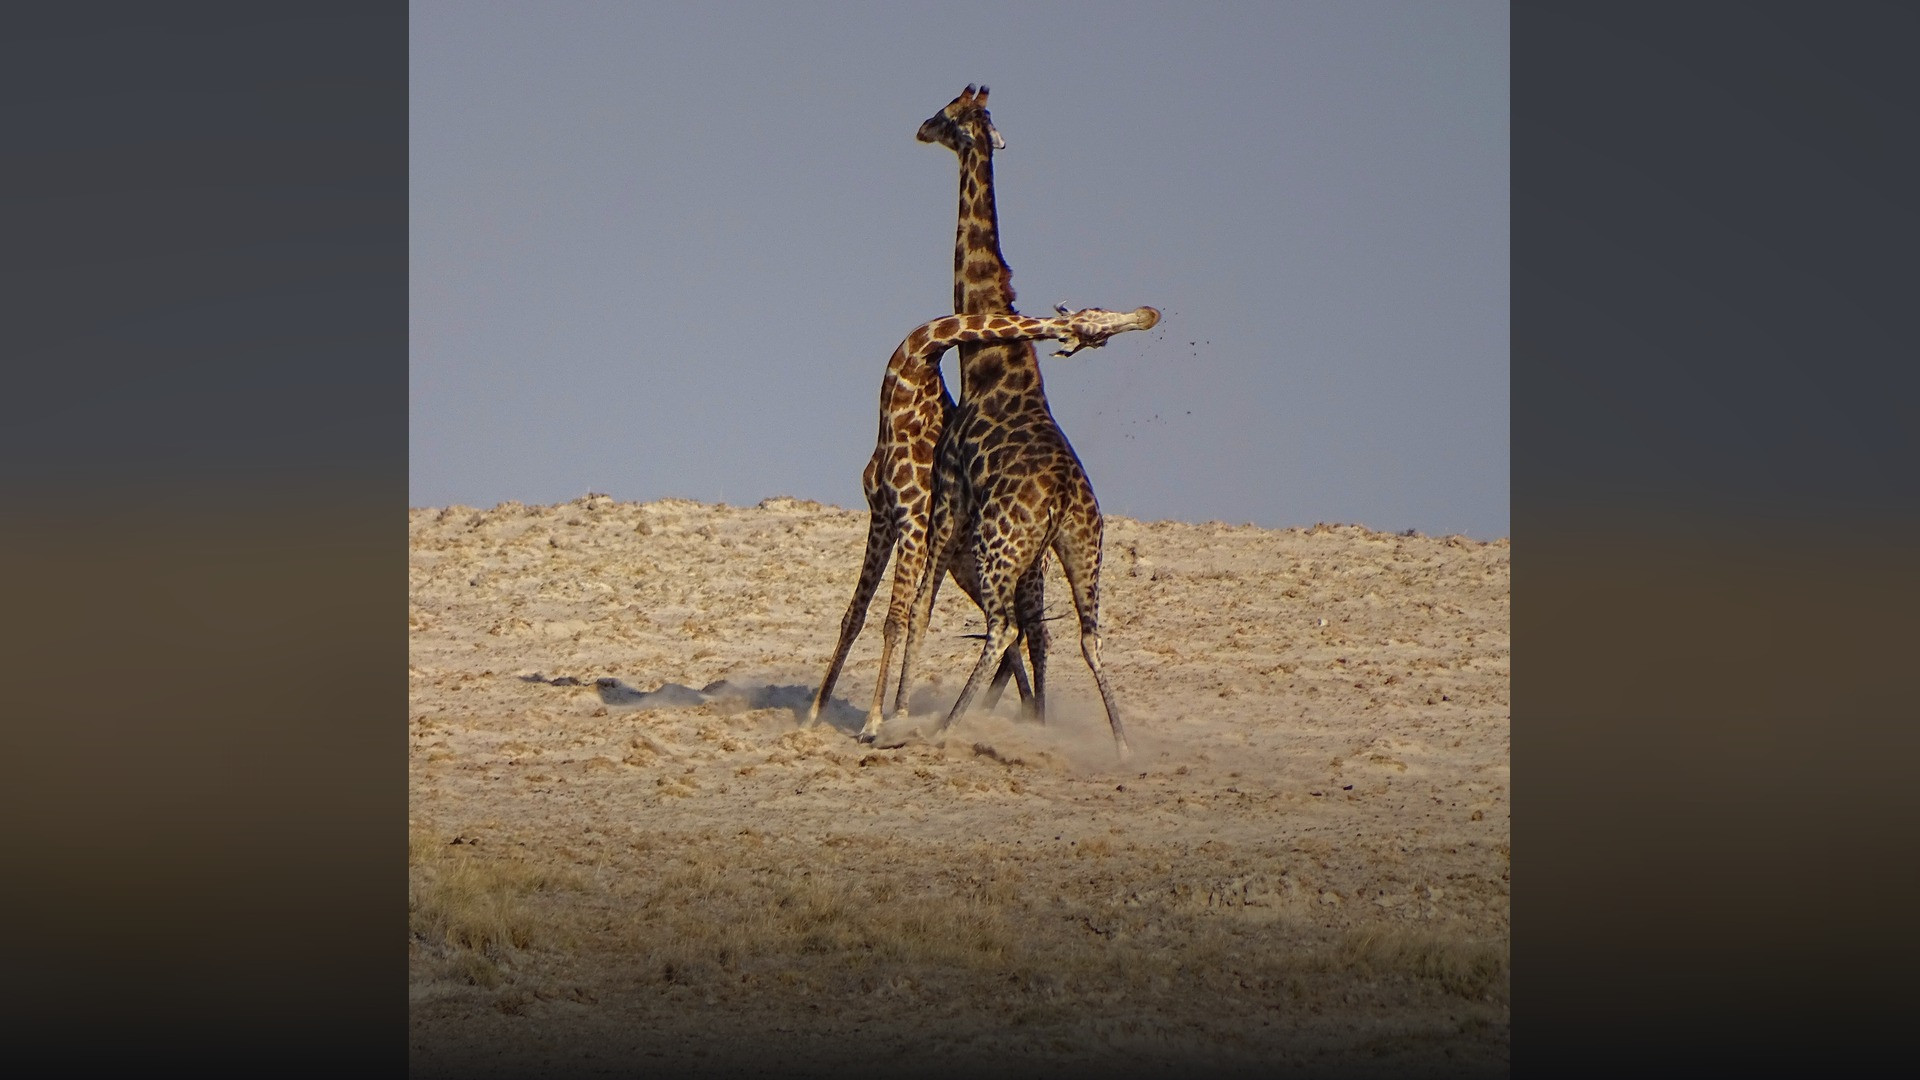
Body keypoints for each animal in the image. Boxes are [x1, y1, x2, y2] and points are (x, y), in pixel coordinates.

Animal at [806, 305, 1160, 738]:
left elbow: (894, 620)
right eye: (1097, 325)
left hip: (1004, 566)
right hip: (971, 567)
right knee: (1018, 632)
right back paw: (1011, 712)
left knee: (1027, 631)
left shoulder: (912, 521)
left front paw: (873, 722)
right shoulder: (882, 517)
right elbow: (853, 617)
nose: (1147, 315)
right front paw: (814, 714)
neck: (905, 392)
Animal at [896, 91, 1153, 763]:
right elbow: (1040, 634)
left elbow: (921, 608)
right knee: (1087, 634)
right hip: (1081, 547)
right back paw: (1122, 746)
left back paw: (946, 726)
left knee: (999, 625)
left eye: (946, 110)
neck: (990, 366)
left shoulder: (950, 498)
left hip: (999, 546)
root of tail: (1064, 497)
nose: (920, 129)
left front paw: (898, 713)